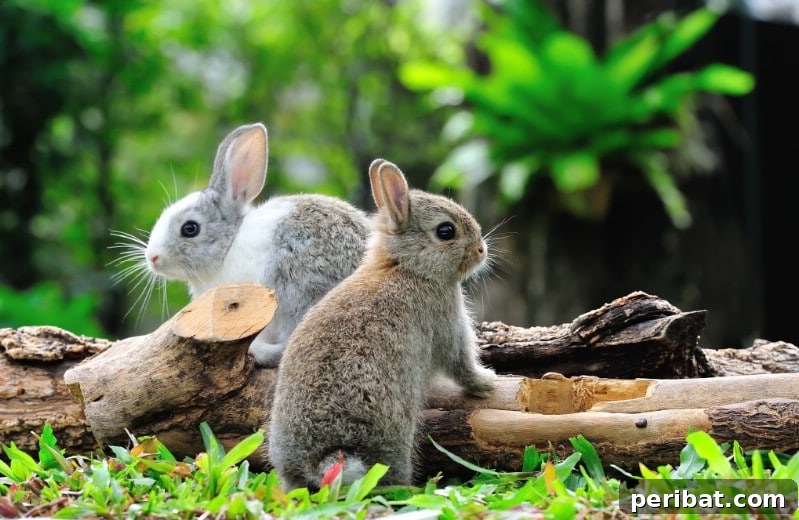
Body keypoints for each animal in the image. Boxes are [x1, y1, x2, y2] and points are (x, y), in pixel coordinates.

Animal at [268, 158, 497, 490]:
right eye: (446, 231)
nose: (481, 250)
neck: (407, 267)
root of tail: (324, 457)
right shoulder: (447, 323)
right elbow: (461, 365)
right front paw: (488, 383)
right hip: (393, 437)